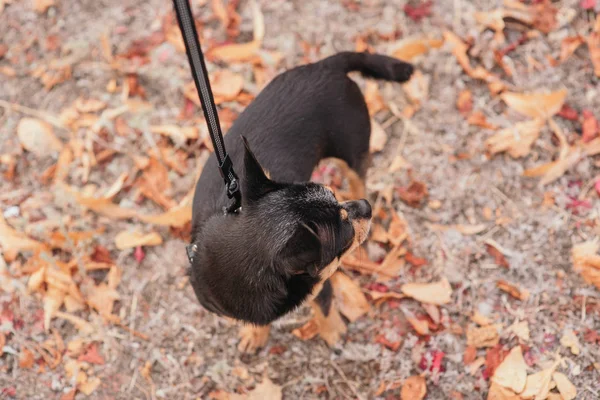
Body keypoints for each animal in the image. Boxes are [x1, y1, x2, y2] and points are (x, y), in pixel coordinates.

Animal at [189, 51, 412, 352]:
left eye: (335, 197)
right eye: (345, 233)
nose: (364, 206)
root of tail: (325, 64)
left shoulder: (321, 282)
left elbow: (324, 307)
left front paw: (333, 332)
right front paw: (255, 335)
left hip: (352, 153)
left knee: (358, 178)